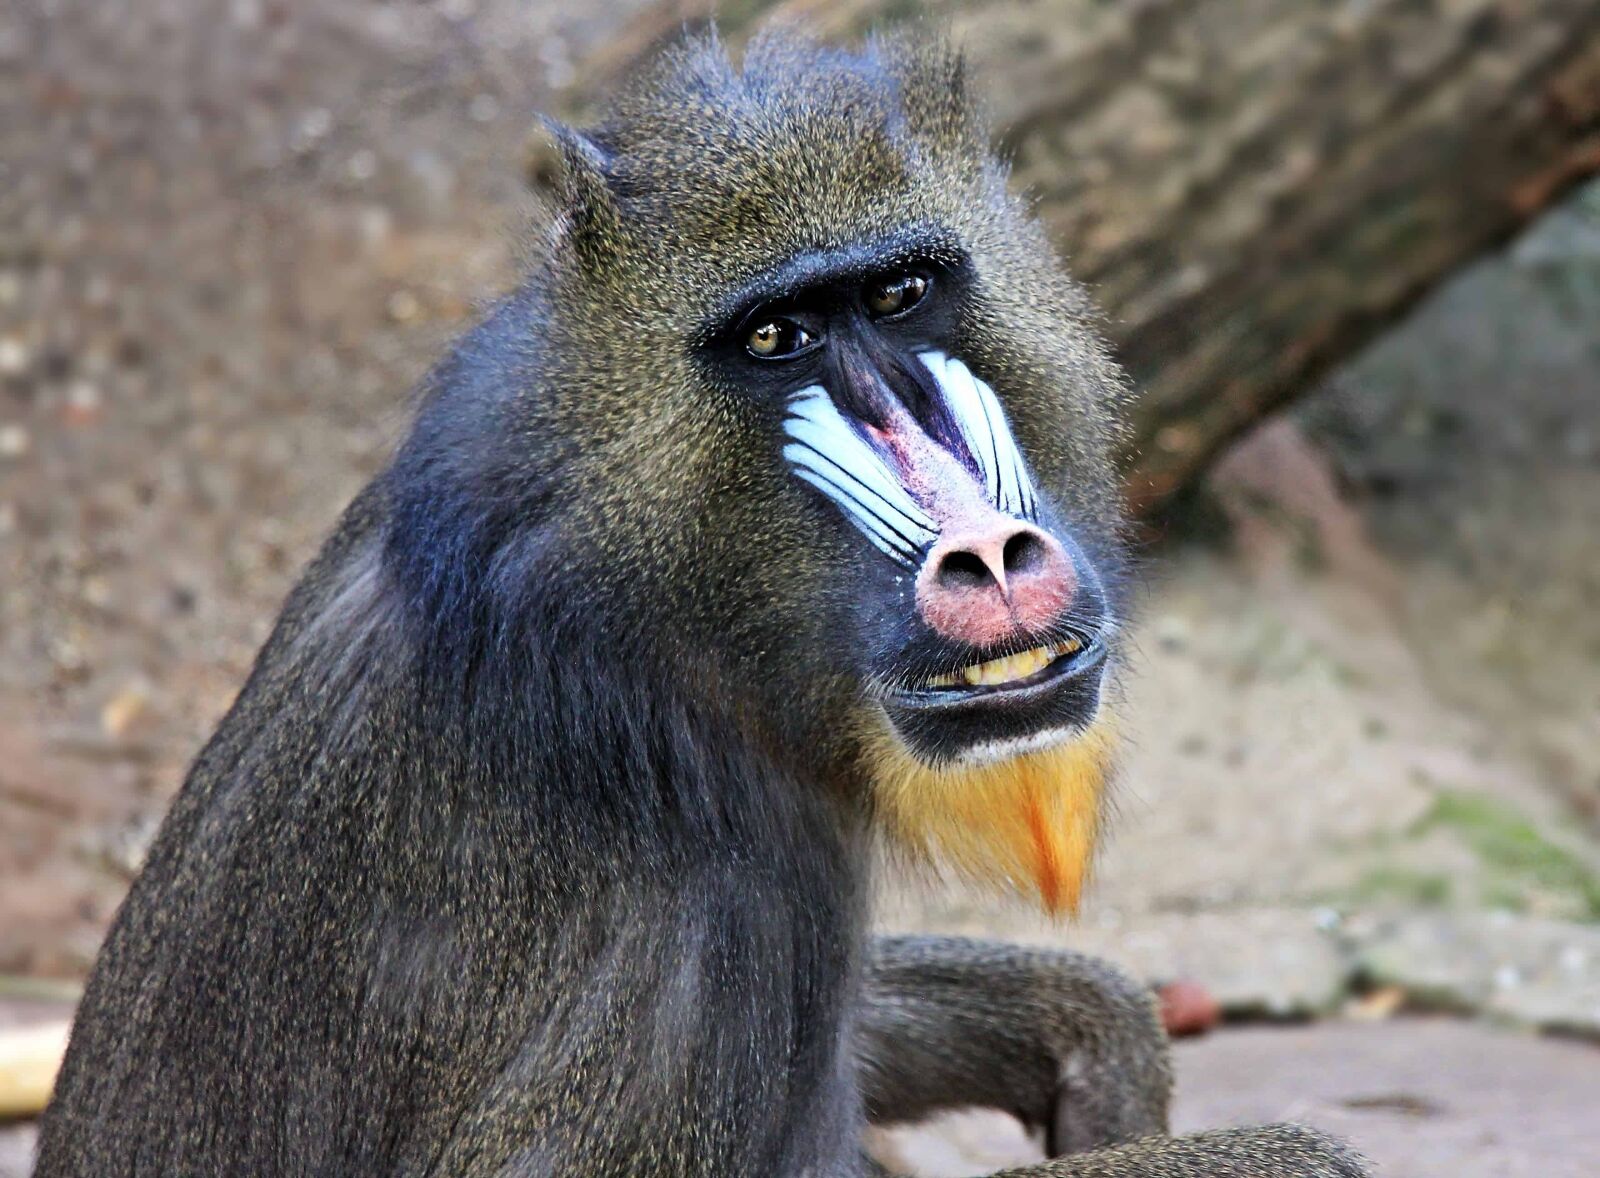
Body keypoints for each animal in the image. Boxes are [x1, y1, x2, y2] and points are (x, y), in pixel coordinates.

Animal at [36, 31, 1369, 1178]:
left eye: (900, 295)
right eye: (777, 338)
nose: (986, 554)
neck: (654, 602)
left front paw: (1097, 1038)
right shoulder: (688, 897)